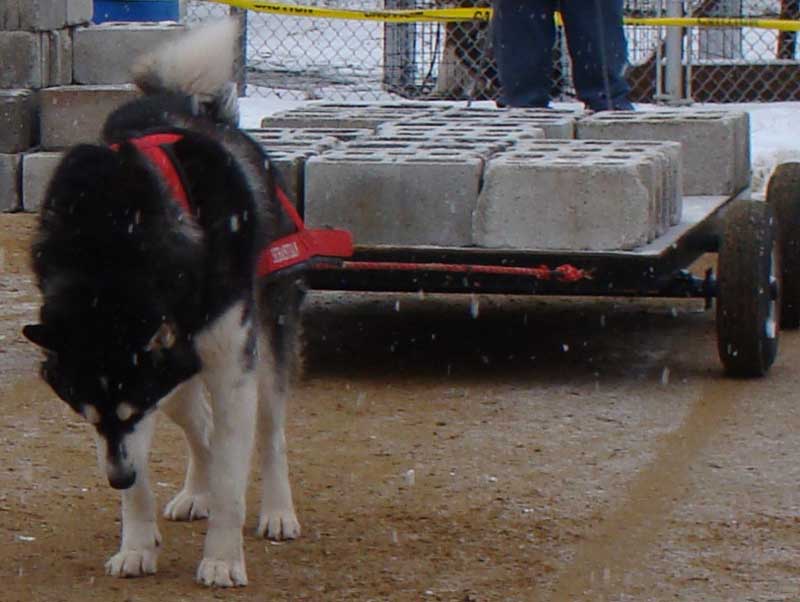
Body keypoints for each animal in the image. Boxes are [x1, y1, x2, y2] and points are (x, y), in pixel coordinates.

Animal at [23, 19, 304, 584]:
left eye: (130, 411)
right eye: (86, 415)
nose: (116, 478)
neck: (111, 249)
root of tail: (194, 109)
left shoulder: (227, 364)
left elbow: (231, 478)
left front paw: (222, 559)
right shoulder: (149, 390)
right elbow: (160, 472)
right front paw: (137, 544)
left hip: (264, 337)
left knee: (269, 431)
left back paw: (277, 510)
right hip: (180, 375)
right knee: (202, 426)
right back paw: (195, 490)